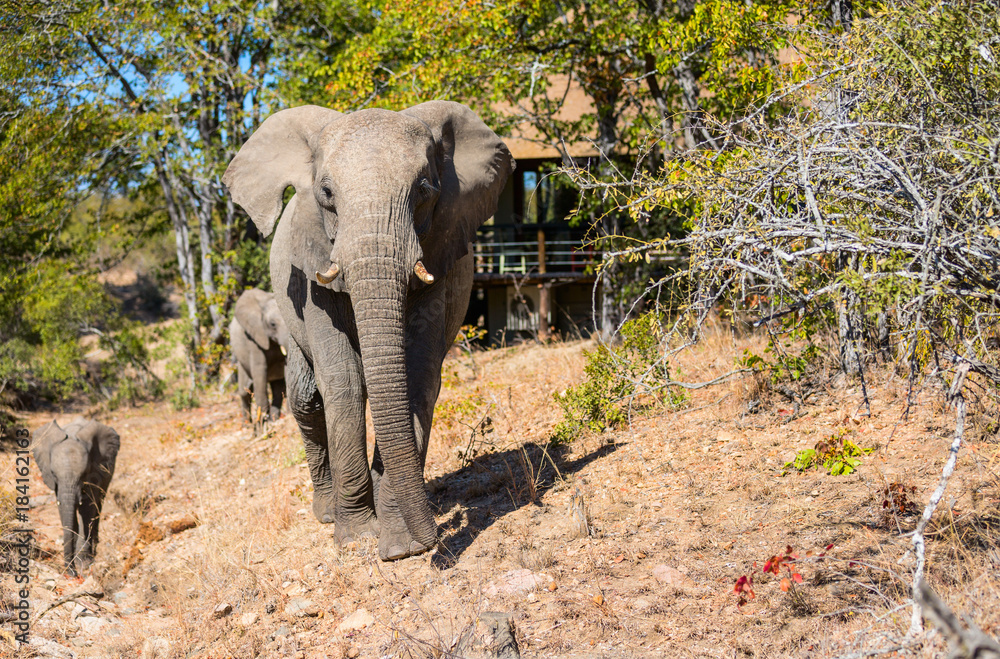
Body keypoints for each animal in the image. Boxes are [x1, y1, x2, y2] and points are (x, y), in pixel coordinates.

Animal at [33, 419, 120, 576]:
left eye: (84, 473)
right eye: (53, 473)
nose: (72, 573)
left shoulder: (95, 471)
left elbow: (87, 508)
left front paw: (83, 563)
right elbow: (64, 508)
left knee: (99, 504)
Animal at [230, 287, 289, 424]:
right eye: (272, 324)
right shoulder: (254, 339)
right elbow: (259, 371)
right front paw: (262, 419)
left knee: (277, 388)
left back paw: (273, 420)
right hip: (240, 359)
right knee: (244, 392)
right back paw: (247, 424)